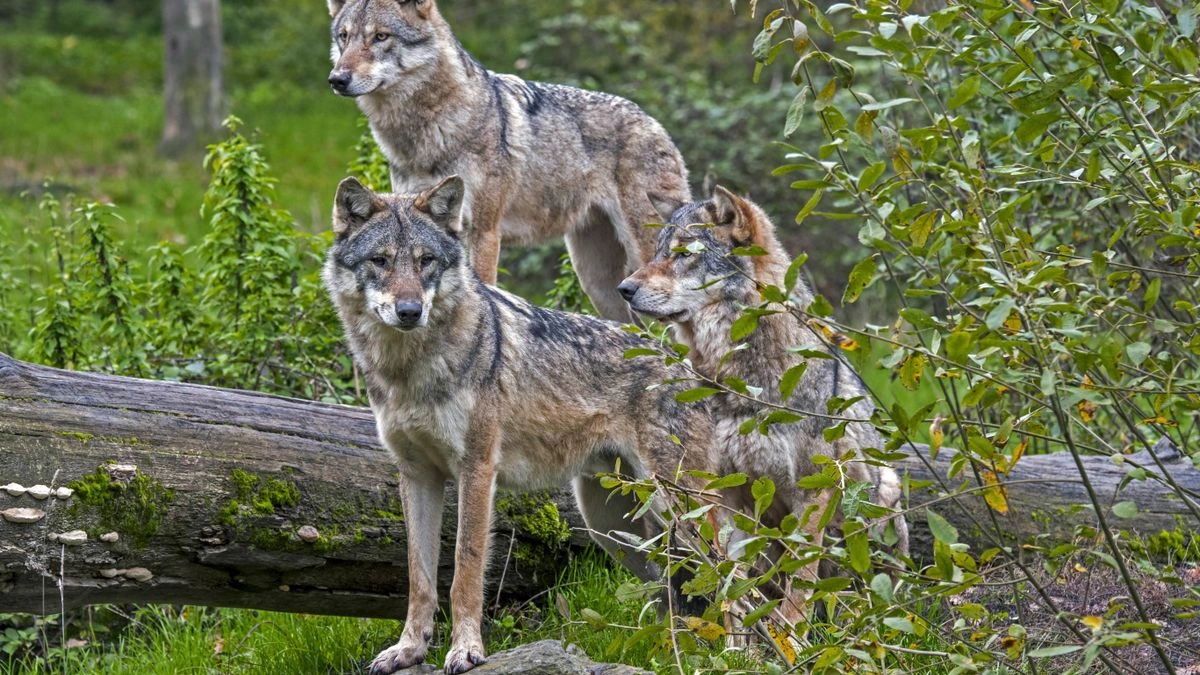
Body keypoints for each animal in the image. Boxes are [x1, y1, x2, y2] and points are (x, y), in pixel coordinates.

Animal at [323, 176, 716, 674]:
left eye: (426, 261)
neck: (408, 371)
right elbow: (419, 578)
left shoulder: (476, 470)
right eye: (381, 260)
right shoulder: (415, 476)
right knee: (675, 591)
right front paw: (408, 649)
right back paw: (679, 651)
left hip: (680, 514)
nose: (410, 311)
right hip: (614, 529)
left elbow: (465, 571)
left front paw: (466, 650)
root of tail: (689, 368)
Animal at [325, 0, 691, 323]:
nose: (337, 79)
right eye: (344, 36)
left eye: (380, 36)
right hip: (597, 281)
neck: (427, 132)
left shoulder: (485, 232)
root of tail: (655, 123)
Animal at [618, 186, 909, 629]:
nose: (624, 289)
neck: (743, 384)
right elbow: (732, 581)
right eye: (657, 253)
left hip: (882, 499)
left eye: (684, 253)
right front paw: (737, 637)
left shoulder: (814, 490)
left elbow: (800, 584)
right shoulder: (723, 491)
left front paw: (792, 636)